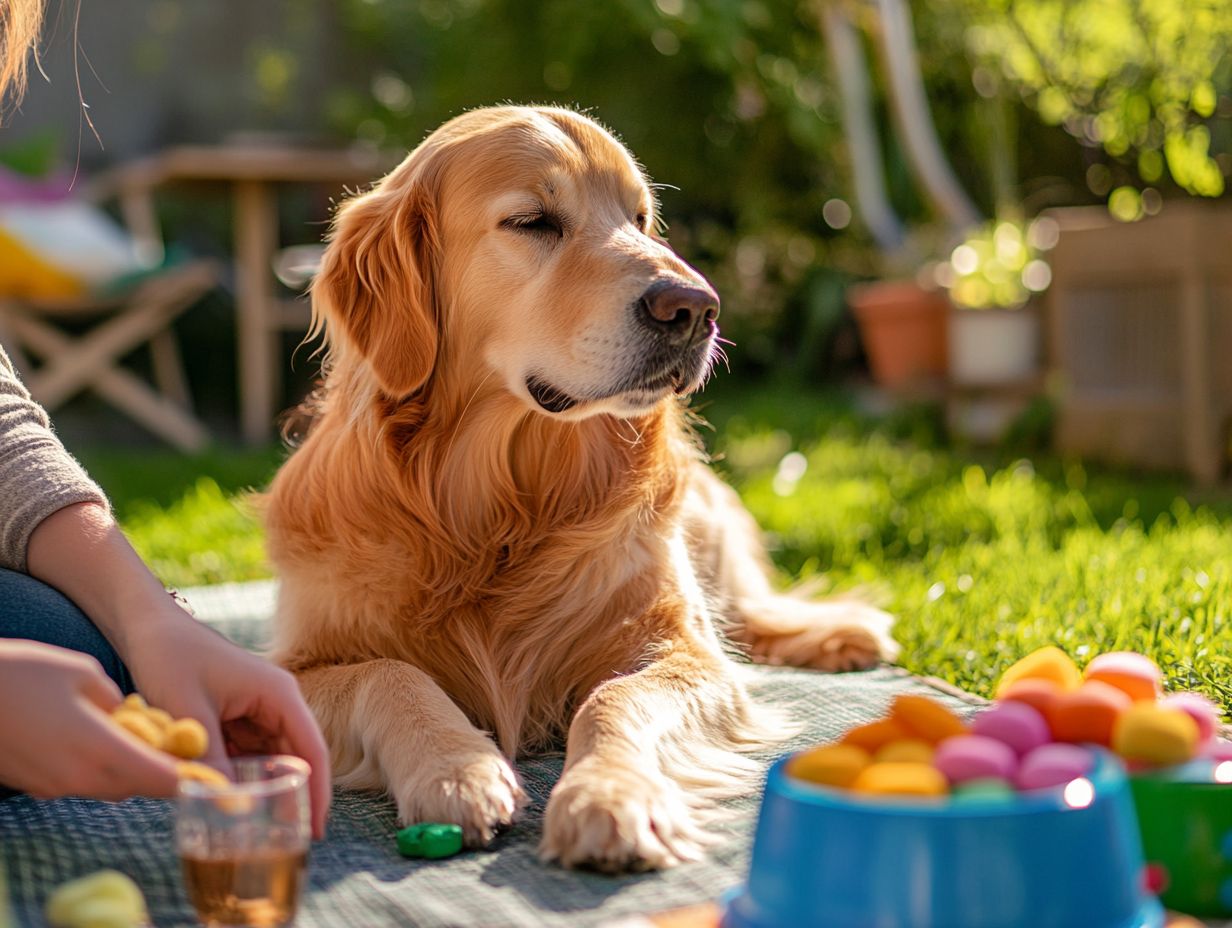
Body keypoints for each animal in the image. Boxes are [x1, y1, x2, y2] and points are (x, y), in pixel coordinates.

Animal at [262, 104, 896, 872]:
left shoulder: (684, 651)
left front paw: (610, 795)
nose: (696, 308)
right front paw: (455, 768)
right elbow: (388, 674)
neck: (503, 503)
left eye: (641, 218)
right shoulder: (292, 668)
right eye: (533, 221)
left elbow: (616, 697)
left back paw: (842, 635)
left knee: (752, 614)